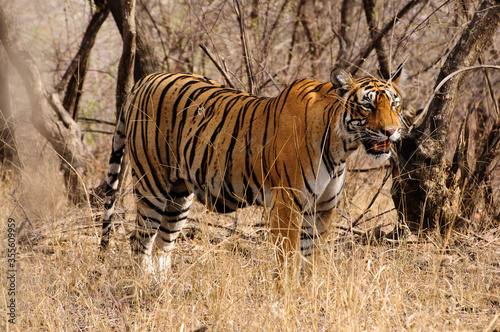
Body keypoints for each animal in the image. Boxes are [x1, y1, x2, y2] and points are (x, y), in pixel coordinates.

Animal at [99, 66, 404, 284]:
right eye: (367, 105)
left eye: (395, 105)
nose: (391, 131)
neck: (342, 146)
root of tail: (146, 78)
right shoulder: (287, 203)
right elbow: (288, 257)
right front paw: (285, 298)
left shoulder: (323, 207)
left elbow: (310, 259)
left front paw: (306, 296)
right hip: (152, 184)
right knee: (139, 241)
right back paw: (143, 288)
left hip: (178, 196)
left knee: (163, 244)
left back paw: (161, 290)